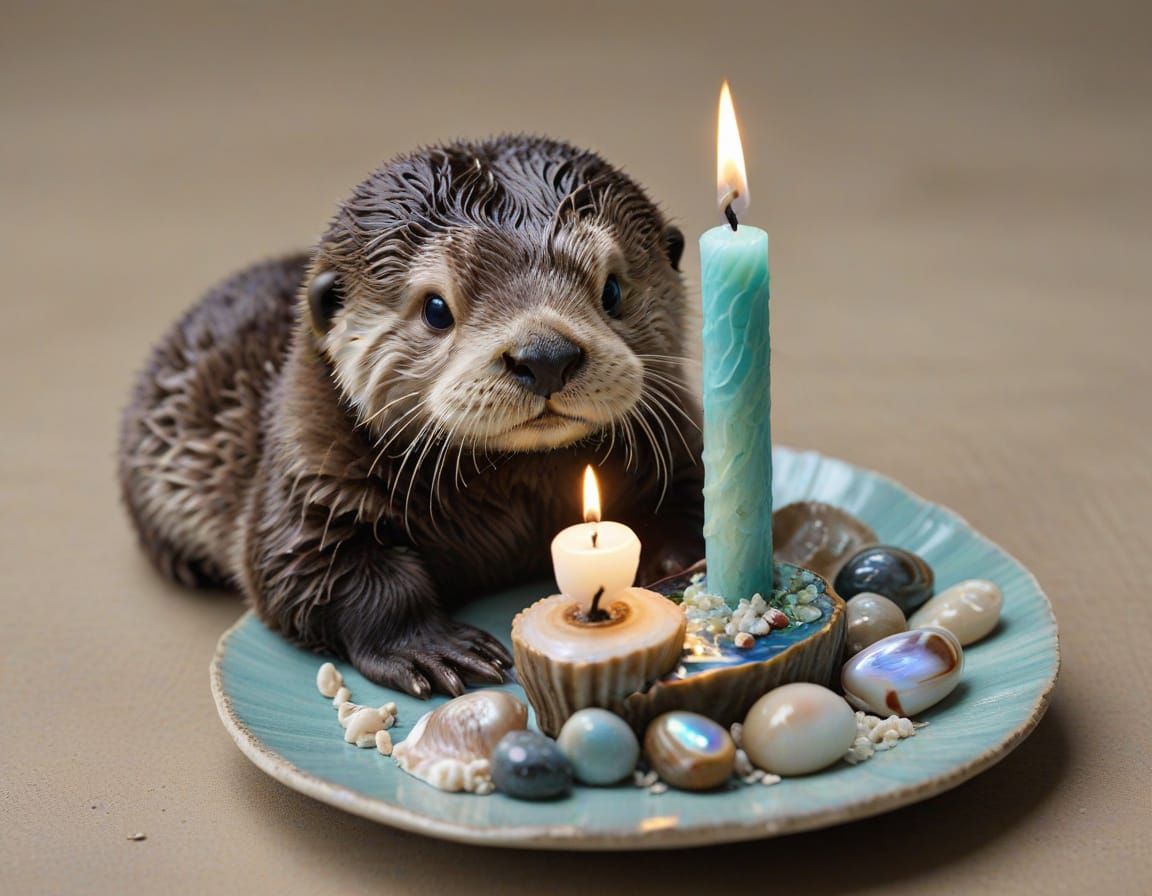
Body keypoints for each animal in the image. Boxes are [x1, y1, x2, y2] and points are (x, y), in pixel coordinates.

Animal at [120, 136, 704, 698]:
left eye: (613, 290)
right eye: (436, 309)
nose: (545, 356)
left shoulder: (680, 435)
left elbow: (691, 503)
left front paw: (678, 568)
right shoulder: (306, 461)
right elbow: (311, 569)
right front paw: (433, 647)